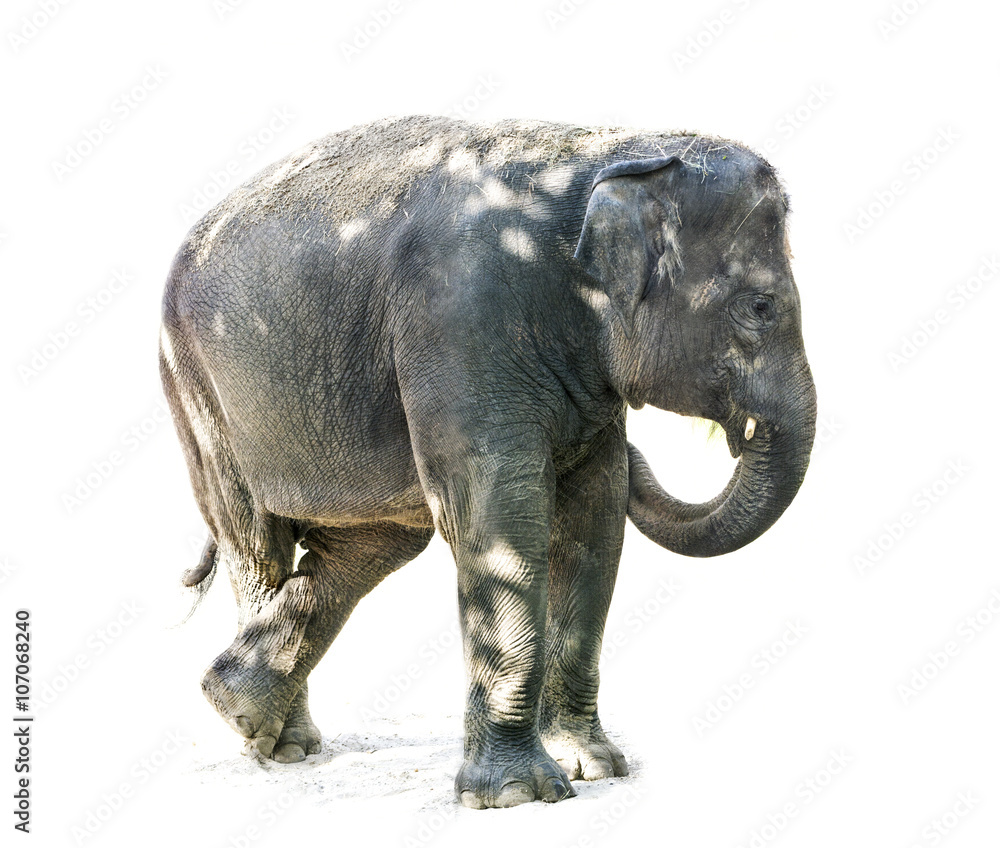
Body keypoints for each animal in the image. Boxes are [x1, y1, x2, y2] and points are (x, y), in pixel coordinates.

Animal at [160, 115, 817, 809]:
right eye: (760, 307)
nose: (739, 434)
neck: (612, 151)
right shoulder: (461, 320)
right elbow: (500, 510)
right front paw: (518, 795)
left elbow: (595, 518)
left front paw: (594, 767)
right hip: (198, 391)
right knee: (258, 544)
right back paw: (264, 735)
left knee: (372, 545)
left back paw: (247, 708)